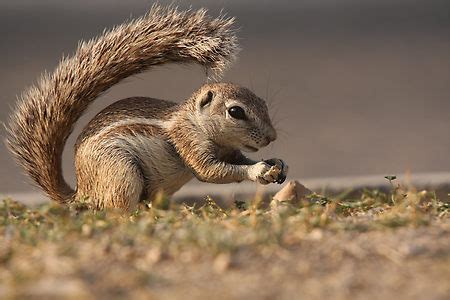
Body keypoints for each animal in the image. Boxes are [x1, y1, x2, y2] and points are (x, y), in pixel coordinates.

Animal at [6, 5, 288, 211]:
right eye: (235, 112)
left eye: (262, 102)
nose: (271, 137)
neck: (195, 122)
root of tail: (82, 193)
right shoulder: (188, 142)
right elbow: (211, 171)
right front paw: (258, 170)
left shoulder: (229, 150)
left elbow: (237, 160)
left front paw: (276, 163)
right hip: (120, 172)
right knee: (117, 210)